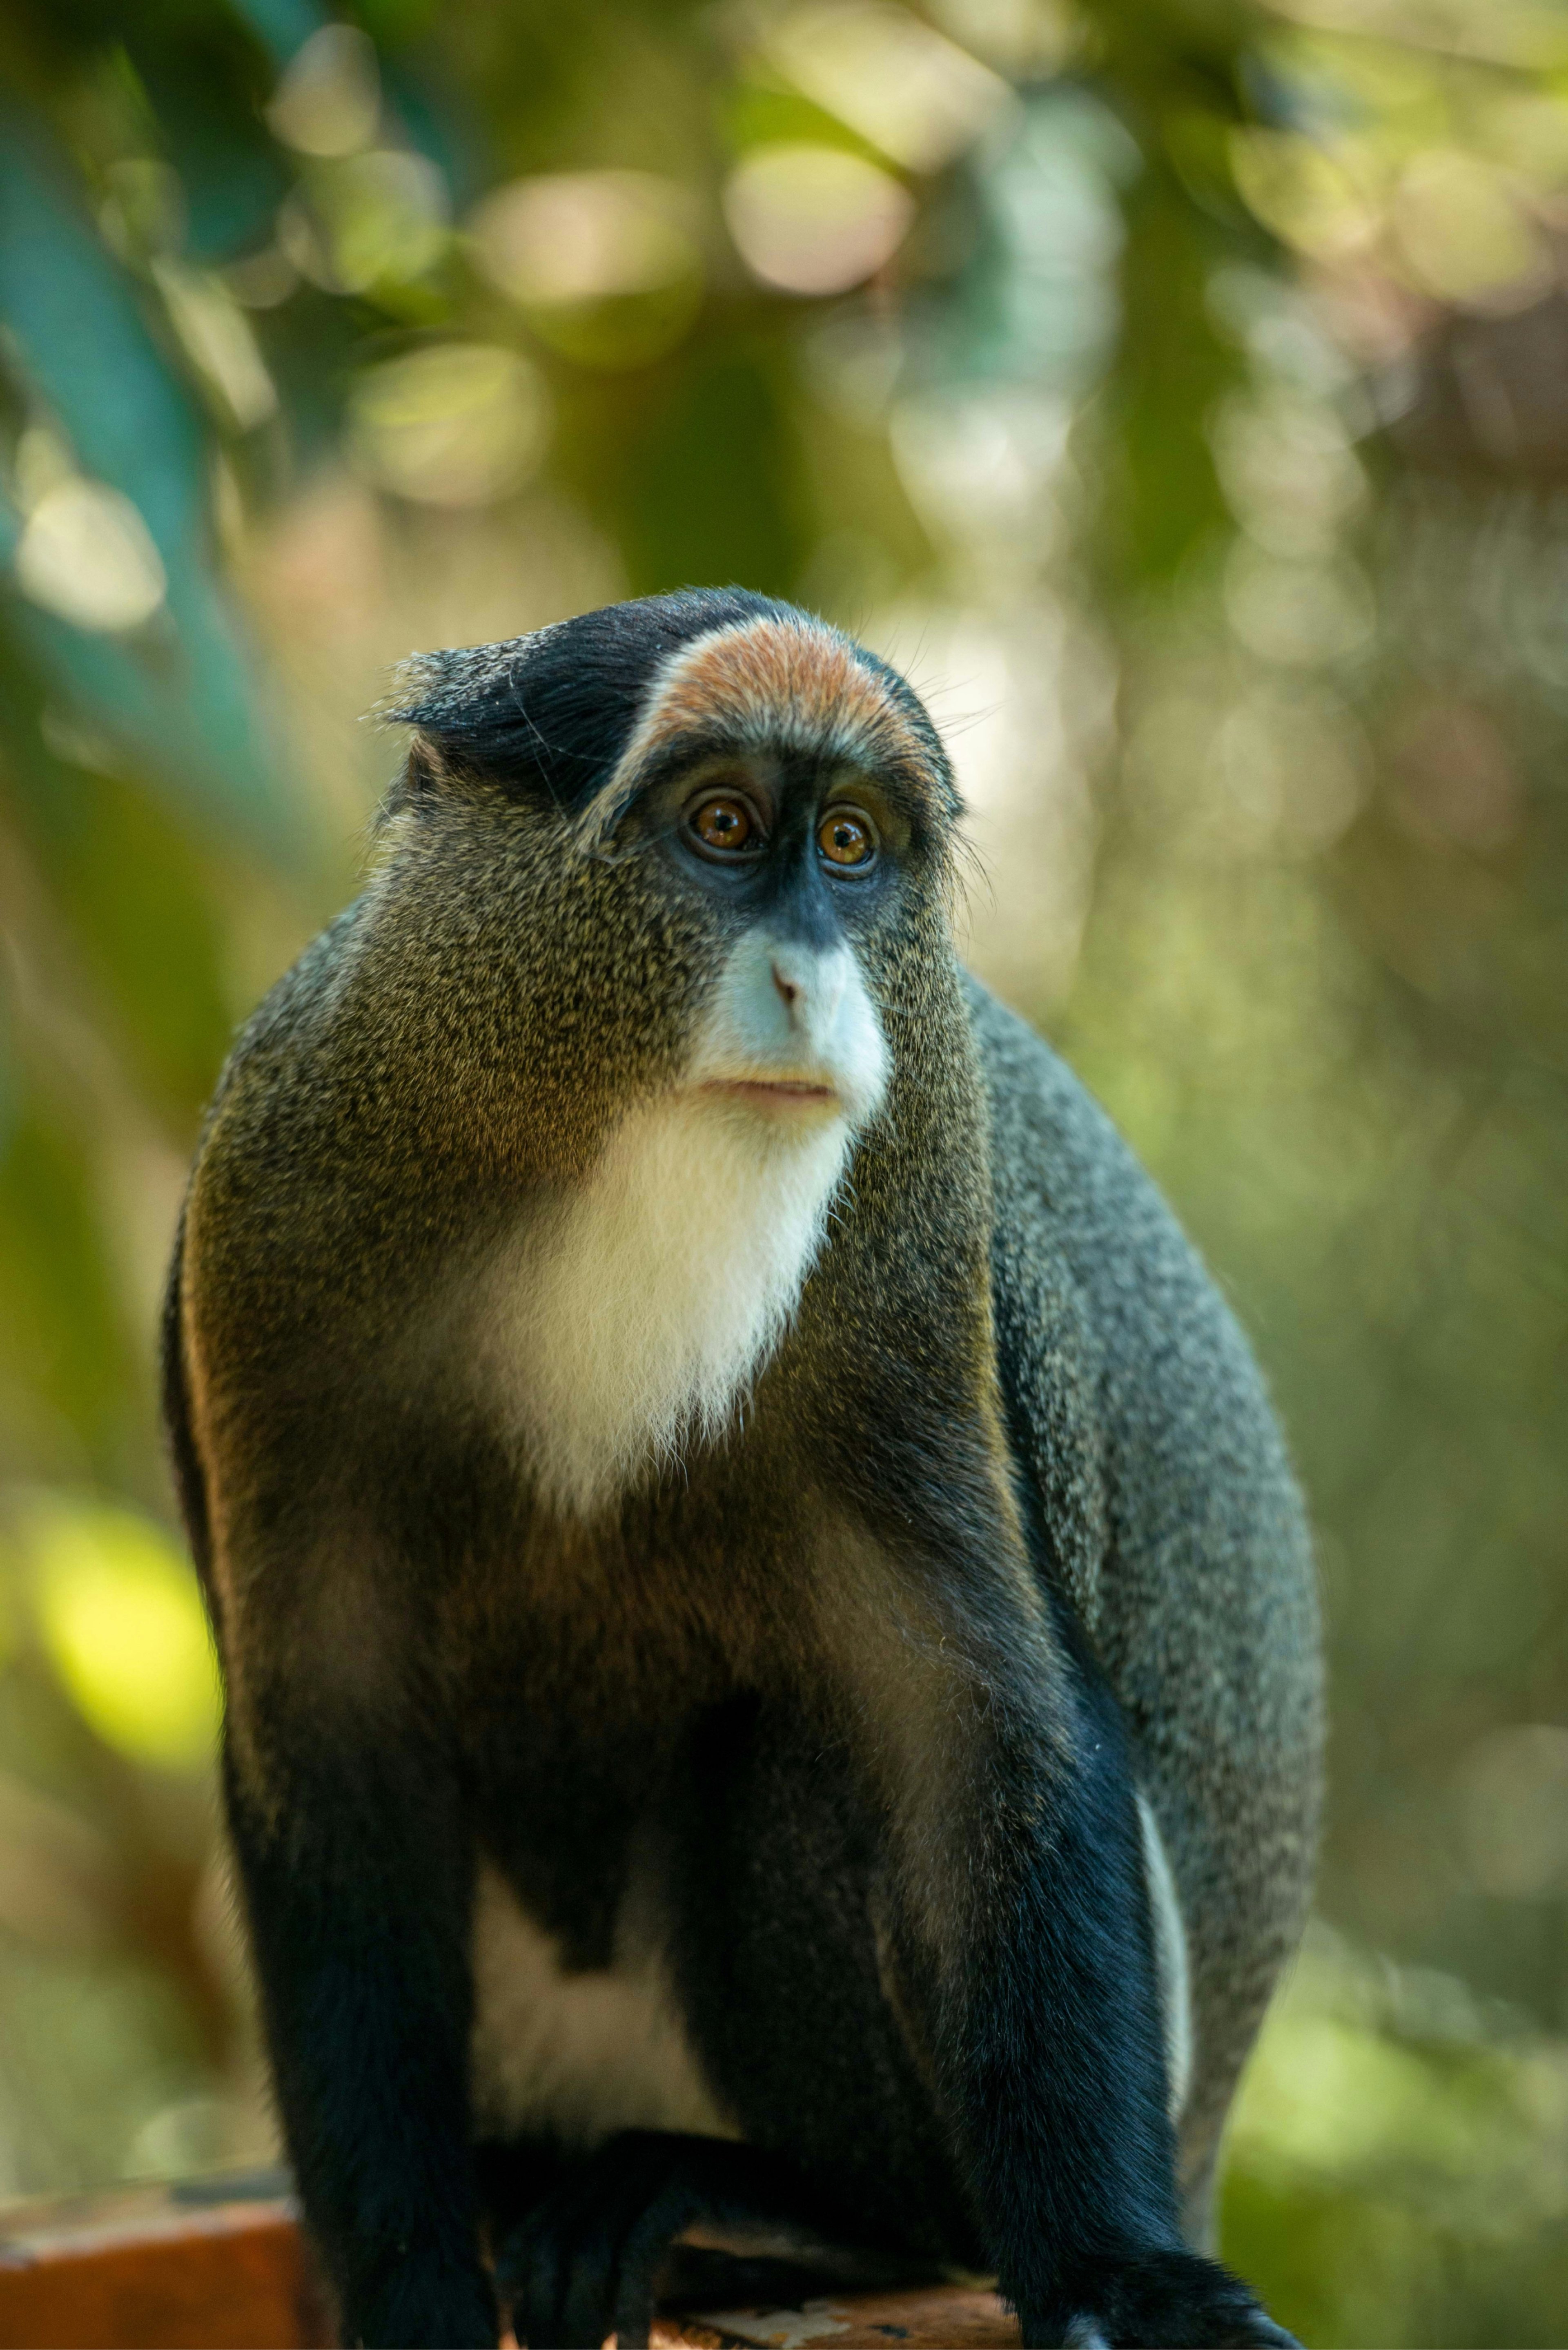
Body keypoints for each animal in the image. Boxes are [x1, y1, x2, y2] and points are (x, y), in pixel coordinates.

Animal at [163, 587, 1321, 2350]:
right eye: (719, 827)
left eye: (849, 844)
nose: (813, 972)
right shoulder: (273, 1223)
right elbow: (336, 1755)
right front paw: (413, 2288)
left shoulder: (919, 1236)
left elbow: (973, 1725)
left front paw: (1121, 2278)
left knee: (793, 1755)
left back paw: (778, 2208)